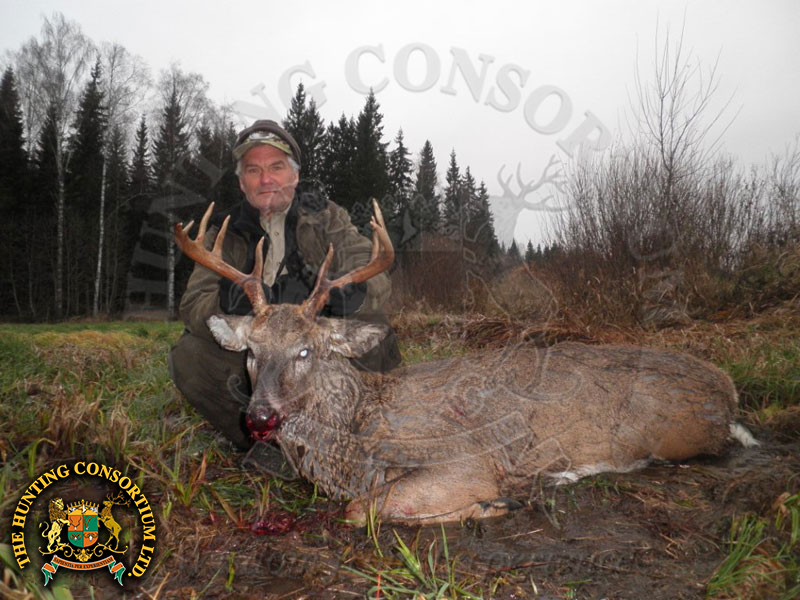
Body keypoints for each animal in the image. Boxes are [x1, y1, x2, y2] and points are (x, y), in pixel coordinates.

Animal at [174, 200, 757, 525]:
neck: (357, 429)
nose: (259, 418)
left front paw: (494, 505)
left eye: (306, 351)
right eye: (251, 351)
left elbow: (361, 510)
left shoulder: (464, 459)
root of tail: (727, 390)